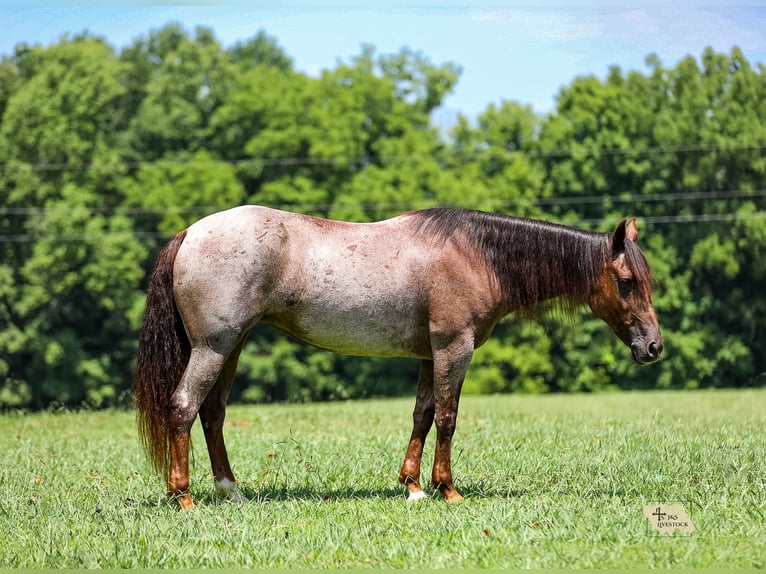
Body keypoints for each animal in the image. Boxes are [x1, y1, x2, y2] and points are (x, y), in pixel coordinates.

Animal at [133, 205, 662, 509]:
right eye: (627, 281)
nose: (654, 347)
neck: (477, 254)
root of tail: (189, 233)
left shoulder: (431, 354)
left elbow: (422, 416)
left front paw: (412, 486)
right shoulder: (454, 347)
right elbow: (447, 418)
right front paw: (448, 489)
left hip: (232, 346)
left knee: (212, 413)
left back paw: (231, 490)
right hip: (214, 347)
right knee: (183, 407)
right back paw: (183, 497)